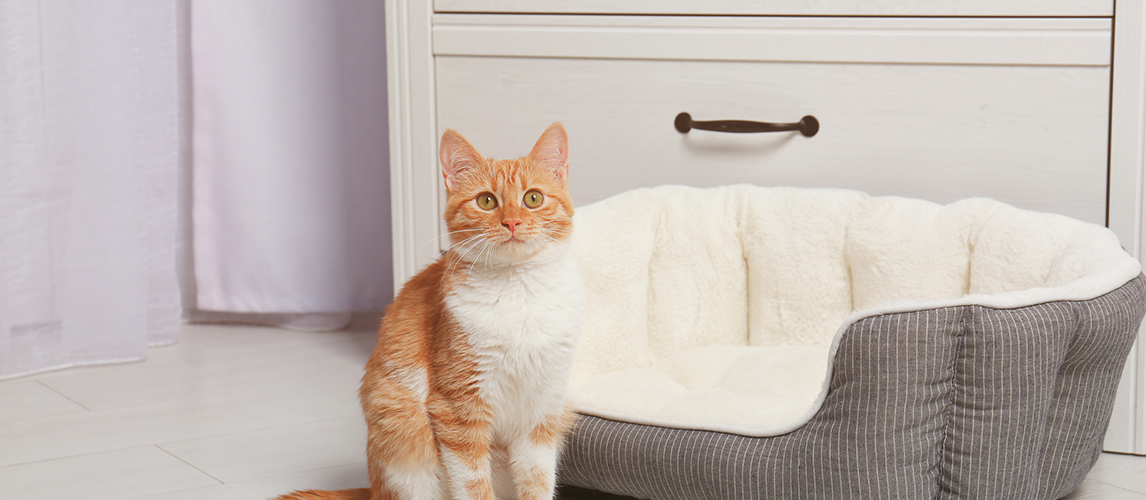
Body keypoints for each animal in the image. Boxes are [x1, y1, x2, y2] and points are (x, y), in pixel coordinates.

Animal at [272, 122, 582, 499]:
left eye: (533, 198)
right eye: (486, 201)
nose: (511, 223)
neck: (518, 291)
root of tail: (372, 490)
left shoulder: (542, 413)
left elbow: (537, 482)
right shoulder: (458, 409)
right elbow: (474, 484)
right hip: (404, 439)